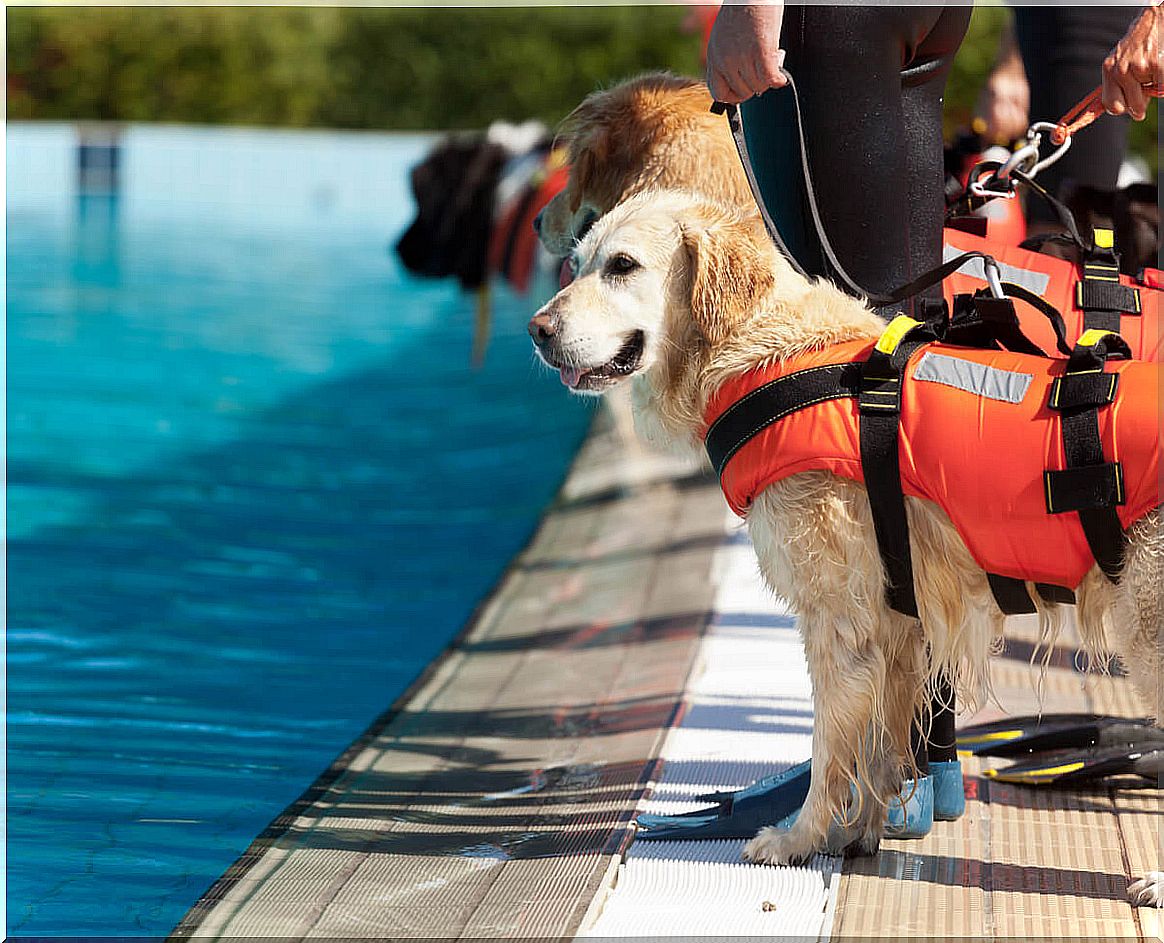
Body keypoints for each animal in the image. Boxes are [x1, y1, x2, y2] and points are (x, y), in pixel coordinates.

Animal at [528, 190, 1164, 903]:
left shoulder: (837, 619)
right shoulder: (897, 622)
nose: (537, 330)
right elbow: (881, 746)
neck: (760, 353)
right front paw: (861, 832)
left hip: (1147, 625)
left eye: (623, 265)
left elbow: (831, 746)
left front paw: (798, 838)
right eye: (579, 262)